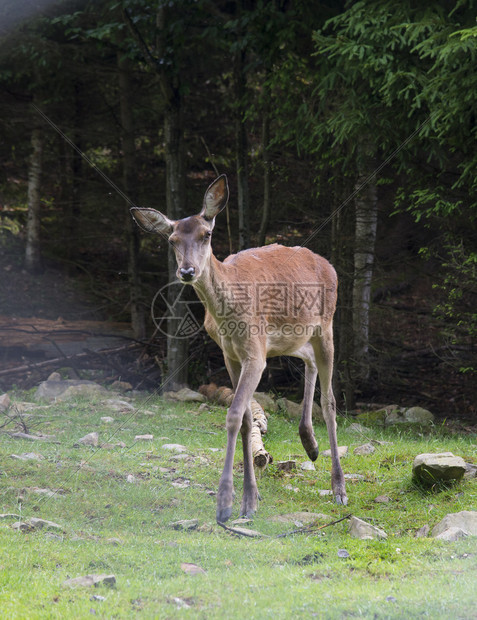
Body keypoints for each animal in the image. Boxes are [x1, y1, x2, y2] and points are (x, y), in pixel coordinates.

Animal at [130, 176, 346, 524]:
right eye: (172, 240)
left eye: (206, 235)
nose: (187, 272)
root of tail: (329, 265)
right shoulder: (230, 354)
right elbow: (246, 419)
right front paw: (250, 499)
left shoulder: (255, 354)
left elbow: (233, 416)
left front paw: (225, 503)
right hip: (294, 336)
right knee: (309, 362)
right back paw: (310, 444)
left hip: (326, 326)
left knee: (330, 401)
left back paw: (338, 487)